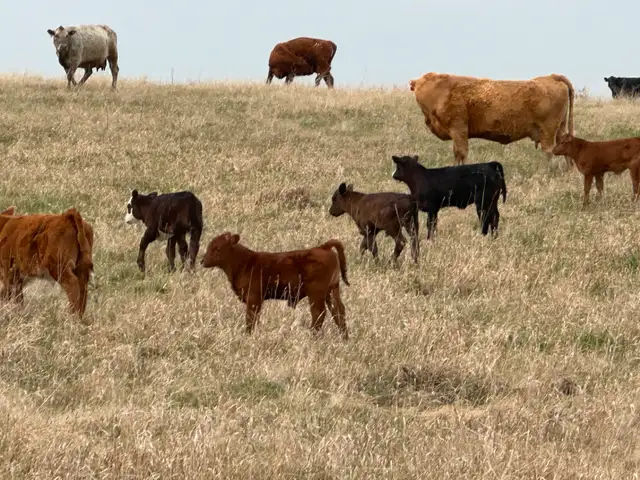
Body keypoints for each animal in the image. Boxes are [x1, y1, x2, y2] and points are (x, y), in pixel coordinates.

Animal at [200, 232, 349, 340]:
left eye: (217, 248)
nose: (202, 261)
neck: (245, 263)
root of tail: (322, 247)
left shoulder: (254, 298)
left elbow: (250, 318)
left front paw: (248, 335)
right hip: (332, 290)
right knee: (338, 311)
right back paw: (344, 337)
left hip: (316, 293)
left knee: (319, 313)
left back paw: (312, 336)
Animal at [408, 72, 575, 166]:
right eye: (418, 89)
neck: (441, 90)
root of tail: (552, 77)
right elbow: (457, 153)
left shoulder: (458, 129)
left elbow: (461, 152)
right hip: (560, 129)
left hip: (548, 131)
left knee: (548, 151)